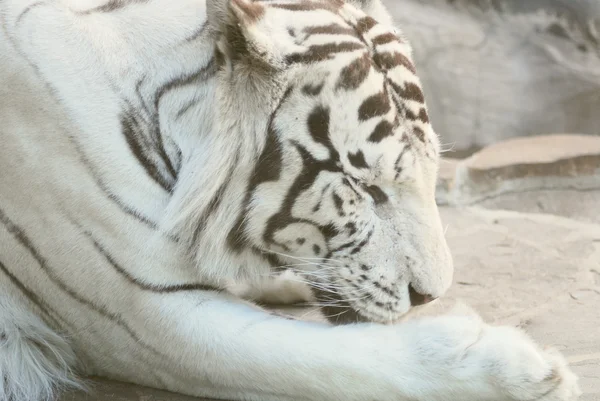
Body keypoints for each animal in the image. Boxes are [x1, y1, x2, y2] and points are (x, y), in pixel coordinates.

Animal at [0, 0, 580, 398]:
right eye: (367, 188)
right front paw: (527, 372)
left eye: (431, 172)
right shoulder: (147, 313)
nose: (429, 296)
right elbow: (344, 364)